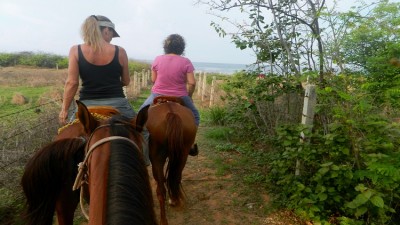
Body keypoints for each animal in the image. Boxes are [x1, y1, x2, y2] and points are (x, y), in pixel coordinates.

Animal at [143, 96, 198, 225]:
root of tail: (171, 113)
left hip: (157, 158)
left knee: (161, 189)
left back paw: (163, 219)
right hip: (182, 154)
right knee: (175, 178)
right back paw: (174, 202)